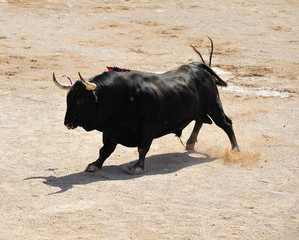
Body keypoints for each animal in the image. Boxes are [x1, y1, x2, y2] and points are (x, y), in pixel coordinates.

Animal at [54, 59, 240, 173]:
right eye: (68, 99)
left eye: (79, 100)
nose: (67, 123)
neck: (118, 97)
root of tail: (196, 66)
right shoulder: (110, 131)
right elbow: (105, 150)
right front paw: (94, 164)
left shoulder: (147, 129)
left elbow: (142, 148)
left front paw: (138, 166)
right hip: (201, 109)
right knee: (200, 120)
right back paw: (190, 142)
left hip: (214, 105)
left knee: (226, 124)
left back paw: (235, 150)